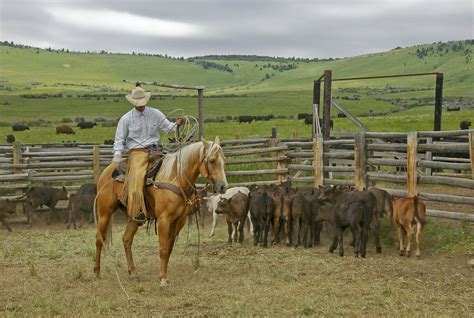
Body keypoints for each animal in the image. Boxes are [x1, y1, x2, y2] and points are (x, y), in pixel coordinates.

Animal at [93, 137, 227, 286]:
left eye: (224, 160)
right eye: (212, 160)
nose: (223, 186)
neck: (176, 178)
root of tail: (107, 171)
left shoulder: (179, 220)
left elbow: (169, 248)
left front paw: (165, 276)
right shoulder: (164, 220)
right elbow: (163, 249)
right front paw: (162, 279)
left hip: (135, 216)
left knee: (127, 239)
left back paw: (133, 273)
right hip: (104, 213)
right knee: (99, 239)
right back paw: (97, 272)